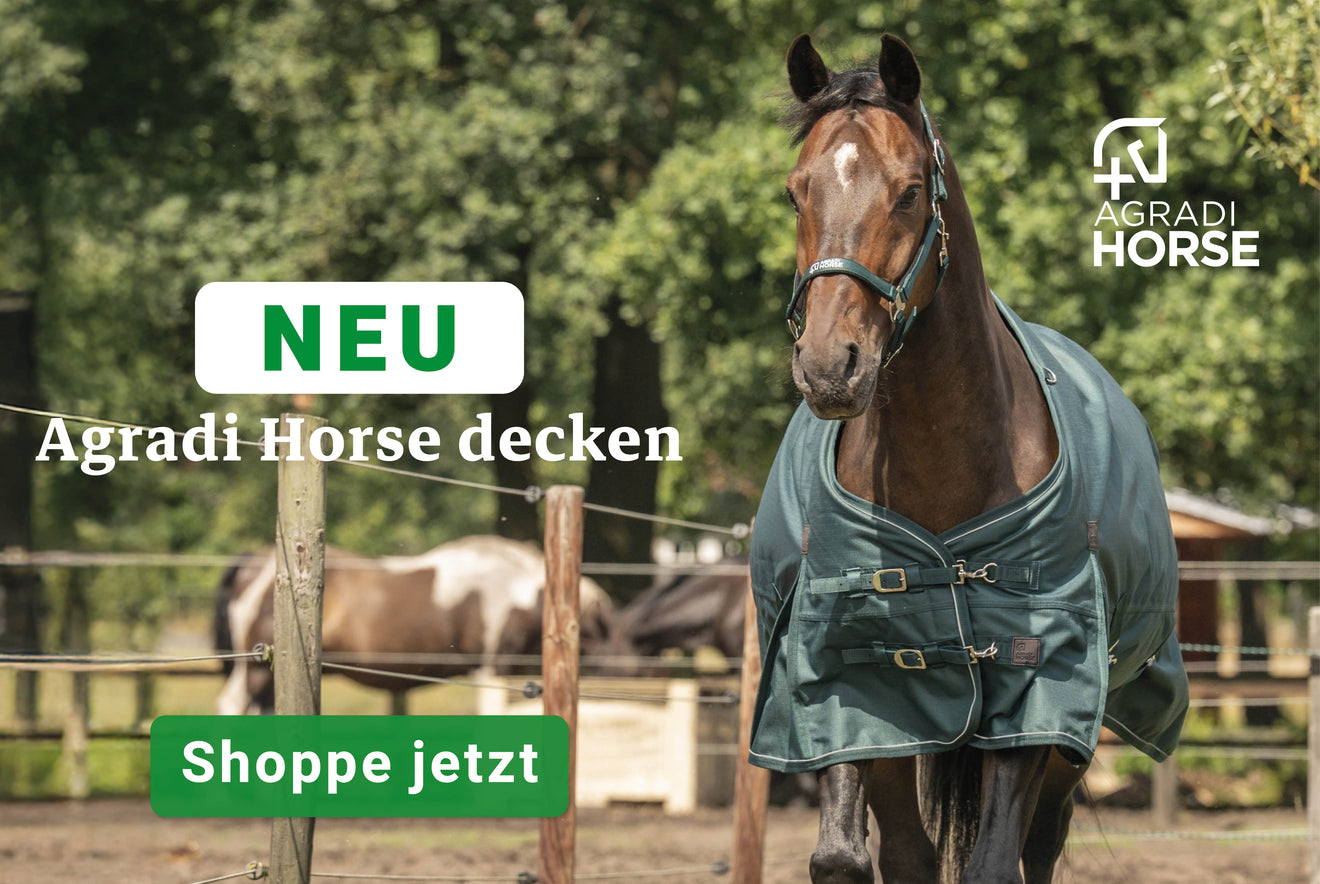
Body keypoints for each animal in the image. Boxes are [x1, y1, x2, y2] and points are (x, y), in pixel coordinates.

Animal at [747, 35, 1188, 883]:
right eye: (794, 193)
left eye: (910, 192)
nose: (828, 366)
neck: (942, 467)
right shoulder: (848, 683)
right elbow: (846, 857)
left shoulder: (1036, 688)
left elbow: (991, 863)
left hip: (1063, 757)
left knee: (1036, 849)